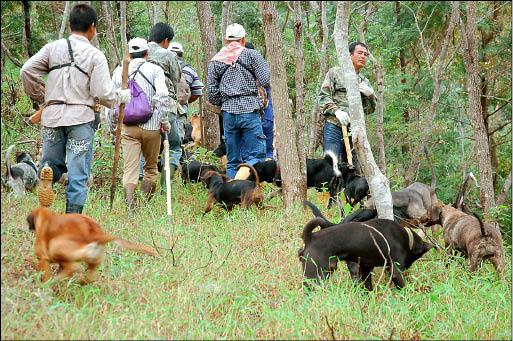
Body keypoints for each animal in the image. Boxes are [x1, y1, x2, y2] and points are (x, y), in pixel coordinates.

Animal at [26, 206, 157, 282]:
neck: (47, 219)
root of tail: (93, 233)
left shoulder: (43, 258)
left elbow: (45, 273)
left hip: (56, 246)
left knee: (74, 267)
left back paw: (57, 280)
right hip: (94, 259)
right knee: (89, 276)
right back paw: (81, 282)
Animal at [300, 201, 432, 290]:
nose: (407, 267)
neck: (406, 236)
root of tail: (310, 237)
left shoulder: (366, 269)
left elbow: (367, 287)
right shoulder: (396, 271)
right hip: (316, 276)